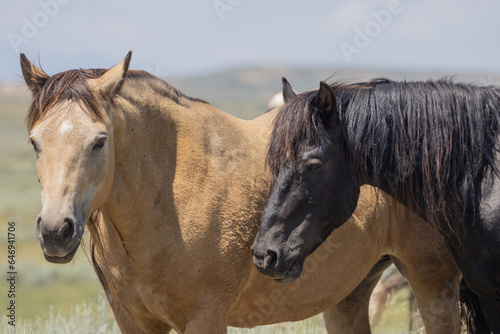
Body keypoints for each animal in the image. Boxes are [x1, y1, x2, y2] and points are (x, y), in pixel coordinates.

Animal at [22, 53, 460, 332]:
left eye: (99, 141)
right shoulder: (134, 322)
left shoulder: (205, 318)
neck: (169, 199)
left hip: (432, 282)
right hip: (349, 296)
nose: (55, 231)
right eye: (34, 143)